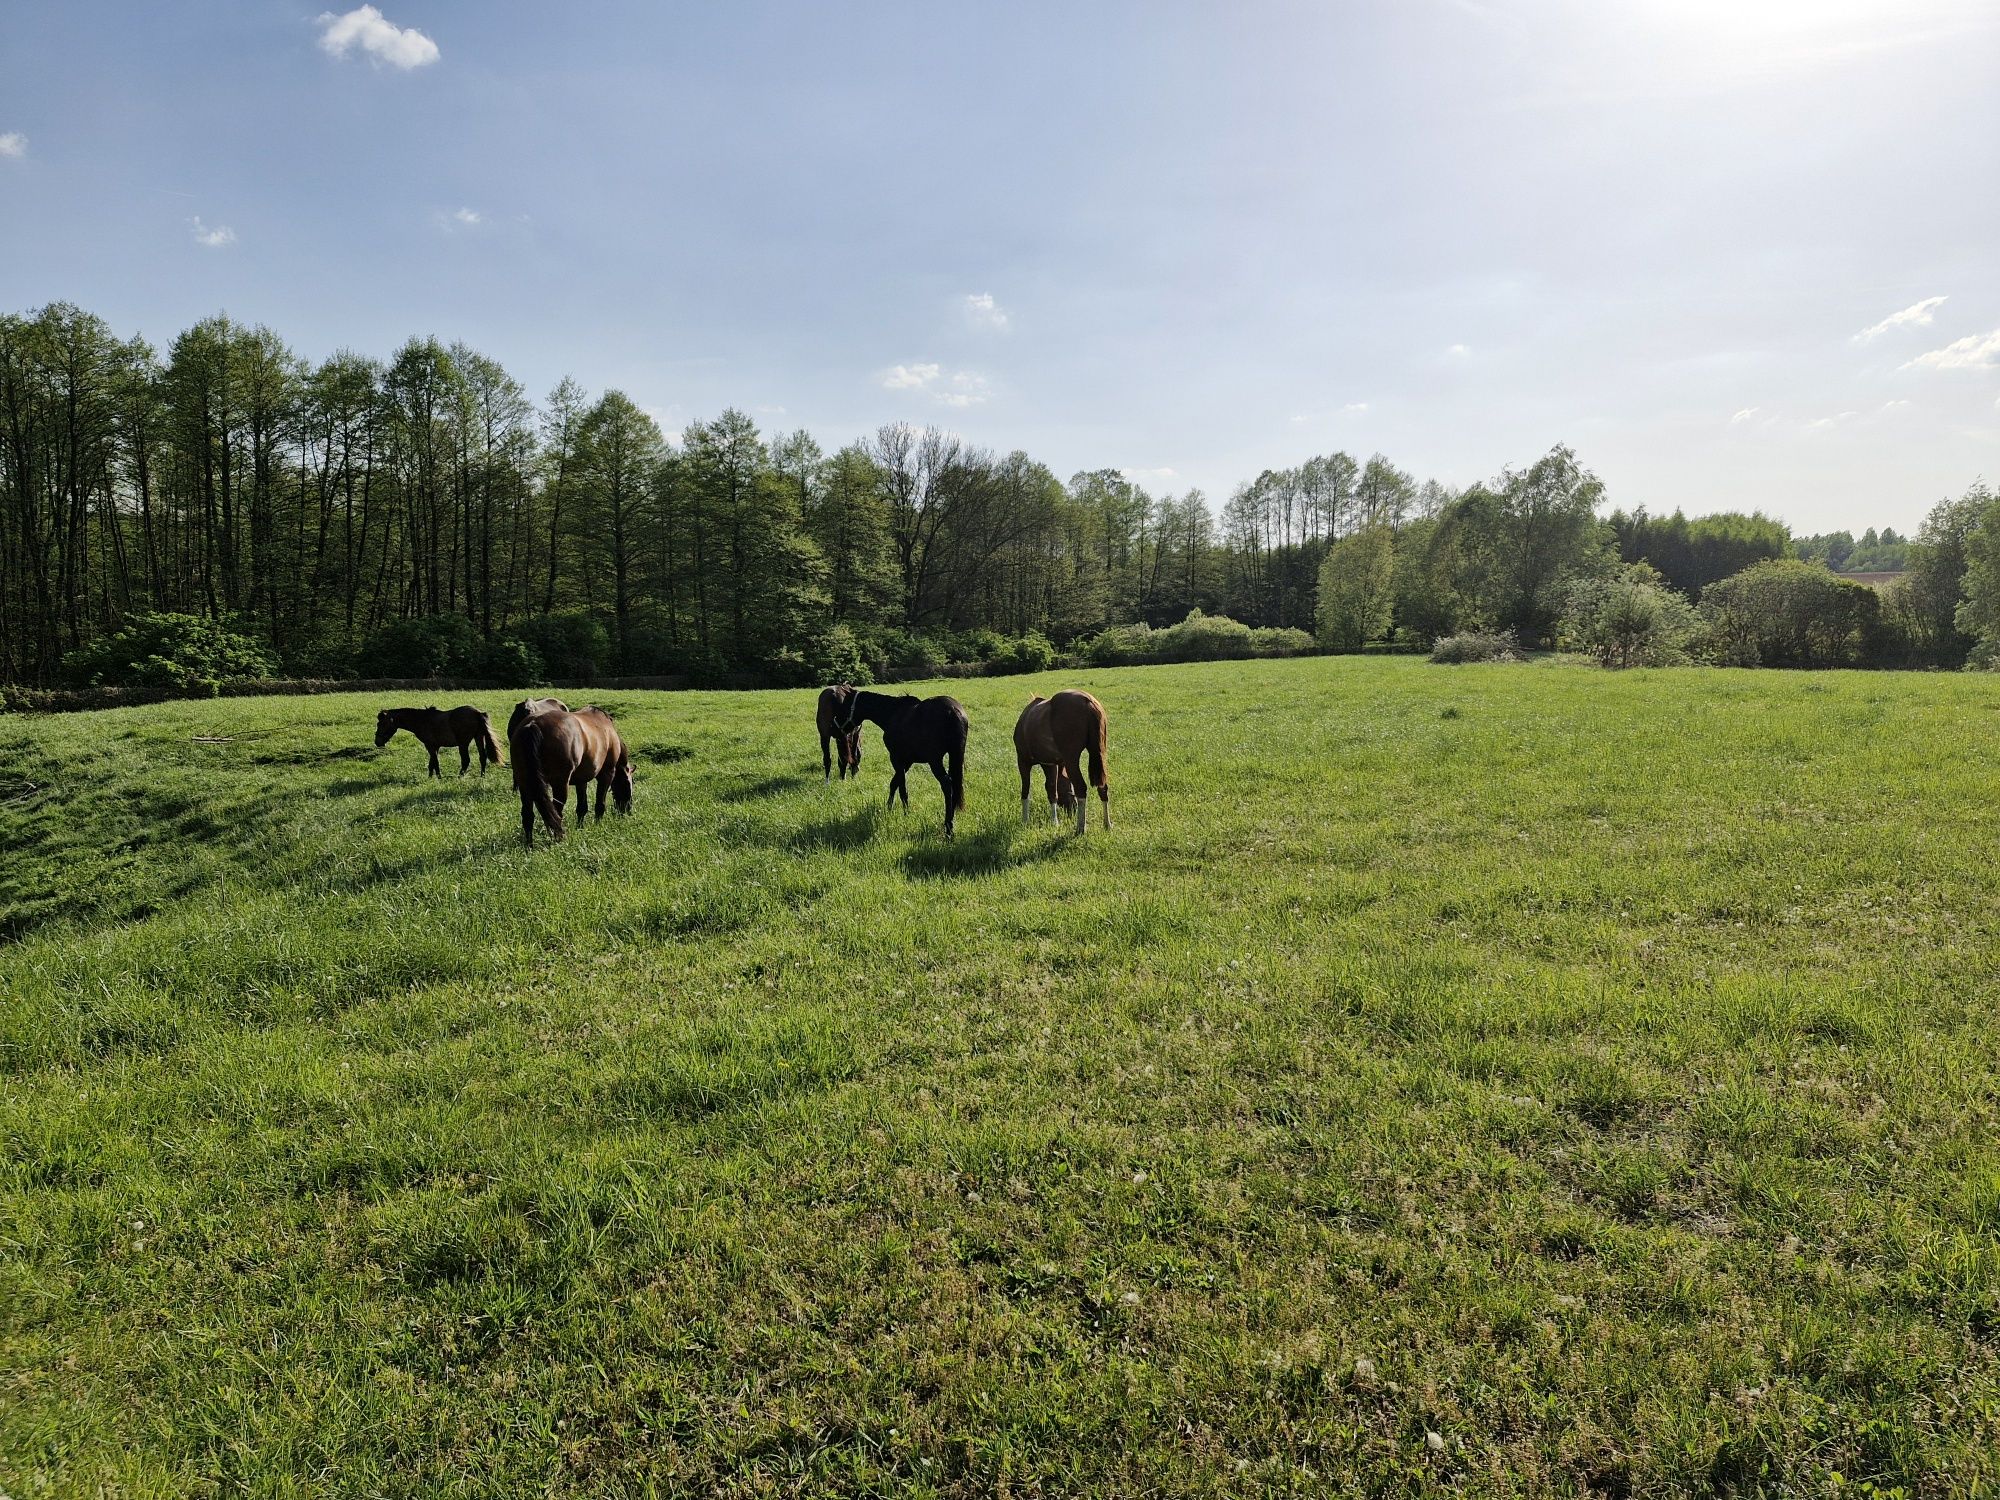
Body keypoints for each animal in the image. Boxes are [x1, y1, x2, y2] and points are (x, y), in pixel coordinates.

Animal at [376, 704, 504, 776]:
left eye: (382, 724)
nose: (377, 742)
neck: (422, 720)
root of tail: (478, 713)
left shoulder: (430, 746)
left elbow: (435, 763)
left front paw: (438, 778)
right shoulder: (435, 746)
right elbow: (431, 764)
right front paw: (430, 778)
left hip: (463, 744)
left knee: (466, 760)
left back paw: (460, 777)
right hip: (478, 738)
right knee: (482, 757)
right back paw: (482, 776)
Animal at [508, 704, 632, 848]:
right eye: (628, 784)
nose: (628, 811)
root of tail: (533, 724)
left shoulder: (581, 780)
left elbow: (582, 807)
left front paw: (580, 827)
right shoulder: (607, 773)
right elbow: (600, 804)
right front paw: (598, 825)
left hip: (525, 785)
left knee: (528, 815)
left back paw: (529, 845)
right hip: (559, 784)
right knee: (556, 812)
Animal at [836, 696, 968, 848]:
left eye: (844, 707)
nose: (838, 728)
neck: (892, 713)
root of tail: (953, 711)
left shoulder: (896, 758)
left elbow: (902, 788)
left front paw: (905, 812)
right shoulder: (907, 761)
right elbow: (895, 783)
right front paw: (889, 807)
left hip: (935, 761)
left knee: (947, 784)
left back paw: (948, 828)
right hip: (955, 756)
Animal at [1016, 692, 1112, 836]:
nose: (1072, 810)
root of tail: (1088, 701)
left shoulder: (1023, 761)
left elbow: (1026, 791)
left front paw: (1025, 821)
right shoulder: (1051, 764)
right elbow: (1052, 791)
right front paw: (1054, 821)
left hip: (1071, 759)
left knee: (1081, 788)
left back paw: (1080, 827)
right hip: (1099, 754)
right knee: (1103, 787)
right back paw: (1107, 824)